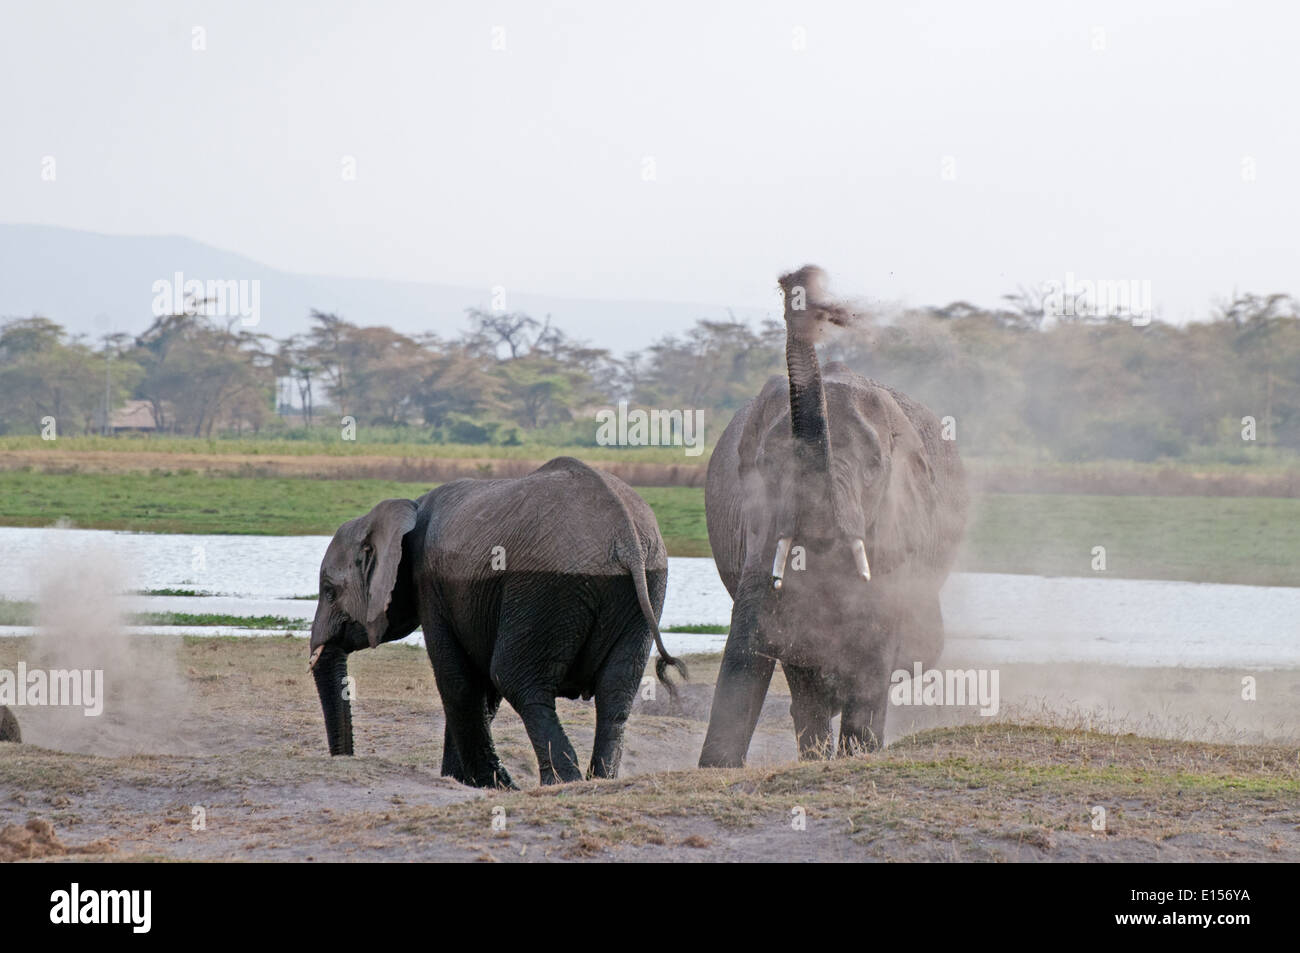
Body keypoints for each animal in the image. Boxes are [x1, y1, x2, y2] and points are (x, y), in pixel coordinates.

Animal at [308, 452, 686, 790]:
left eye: (329, 591)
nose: (346, 757)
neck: (406, 511)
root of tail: (625, 536)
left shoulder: (430, 584)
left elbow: (458, 680)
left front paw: (487, 783)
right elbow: (480, 689)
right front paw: (461, 780)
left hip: (543, 589)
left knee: (516, 678)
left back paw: (559, 783)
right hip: (643, 589)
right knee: (617, 689)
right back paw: (598, 780)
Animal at [702, 265, 967, 764]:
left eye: (874, 466)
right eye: (768, 463)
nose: (796, 282)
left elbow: (876, 638)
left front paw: (859, 752)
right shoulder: (758, 521)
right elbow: (749, 642)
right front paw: (718, 767)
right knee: (804, 679)